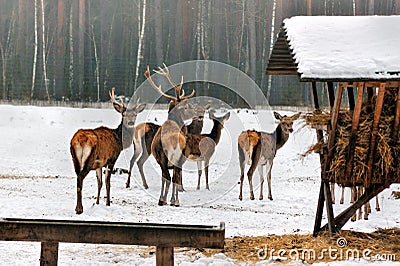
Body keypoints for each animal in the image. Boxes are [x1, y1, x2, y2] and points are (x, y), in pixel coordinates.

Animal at [145, 64, 197, 206]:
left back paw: (163, 200)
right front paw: (172, 199)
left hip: (164, 156)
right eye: (186, 106)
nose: (197, 113)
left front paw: (164, 198)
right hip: (177, 157)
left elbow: (165, 178)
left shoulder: (161, 160)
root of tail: (174, 142)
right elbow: (174, 178)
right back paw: (175, 201)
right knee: (175, 177)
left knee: (169, 177)